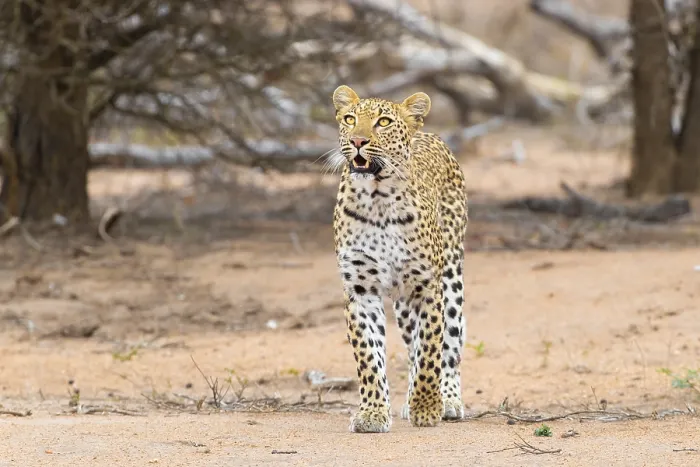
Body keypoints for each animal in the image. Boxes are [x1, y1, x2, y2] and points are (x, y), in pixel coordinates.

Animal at [329, 85, 468, 433]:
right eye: (349, 119)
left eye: (383, 122)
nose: (358, 141)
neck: (377, 198)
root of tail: (428, 133)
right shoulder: (360, 289)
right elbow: (368, 356)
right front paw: (372, 413)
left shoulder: (427, 286)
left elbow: (431, 349)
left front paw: (427, 407)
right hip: (404, 304)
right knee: (410, 343)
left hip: (451, 278)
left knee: (450, 344)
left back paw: (448, 399)